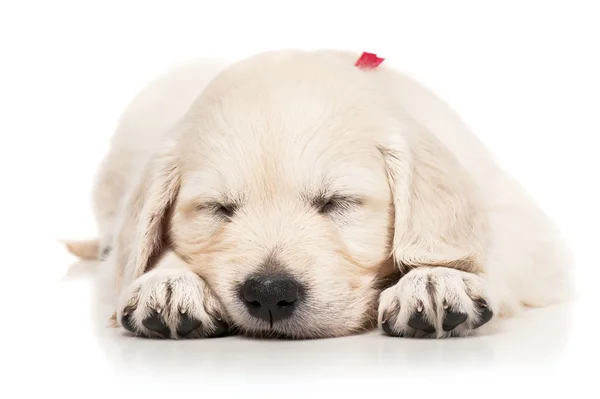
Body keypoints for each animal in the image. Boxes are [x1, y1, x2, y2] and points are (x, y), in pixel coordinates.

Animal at [65, 48, 572, 340]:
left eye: (337, 203)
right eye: (217, 209)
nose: (270, 294)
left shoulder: (523, 223)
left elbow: (483, 243)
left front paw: (434, 278)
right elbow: (137, 257)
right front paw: (168, 283)